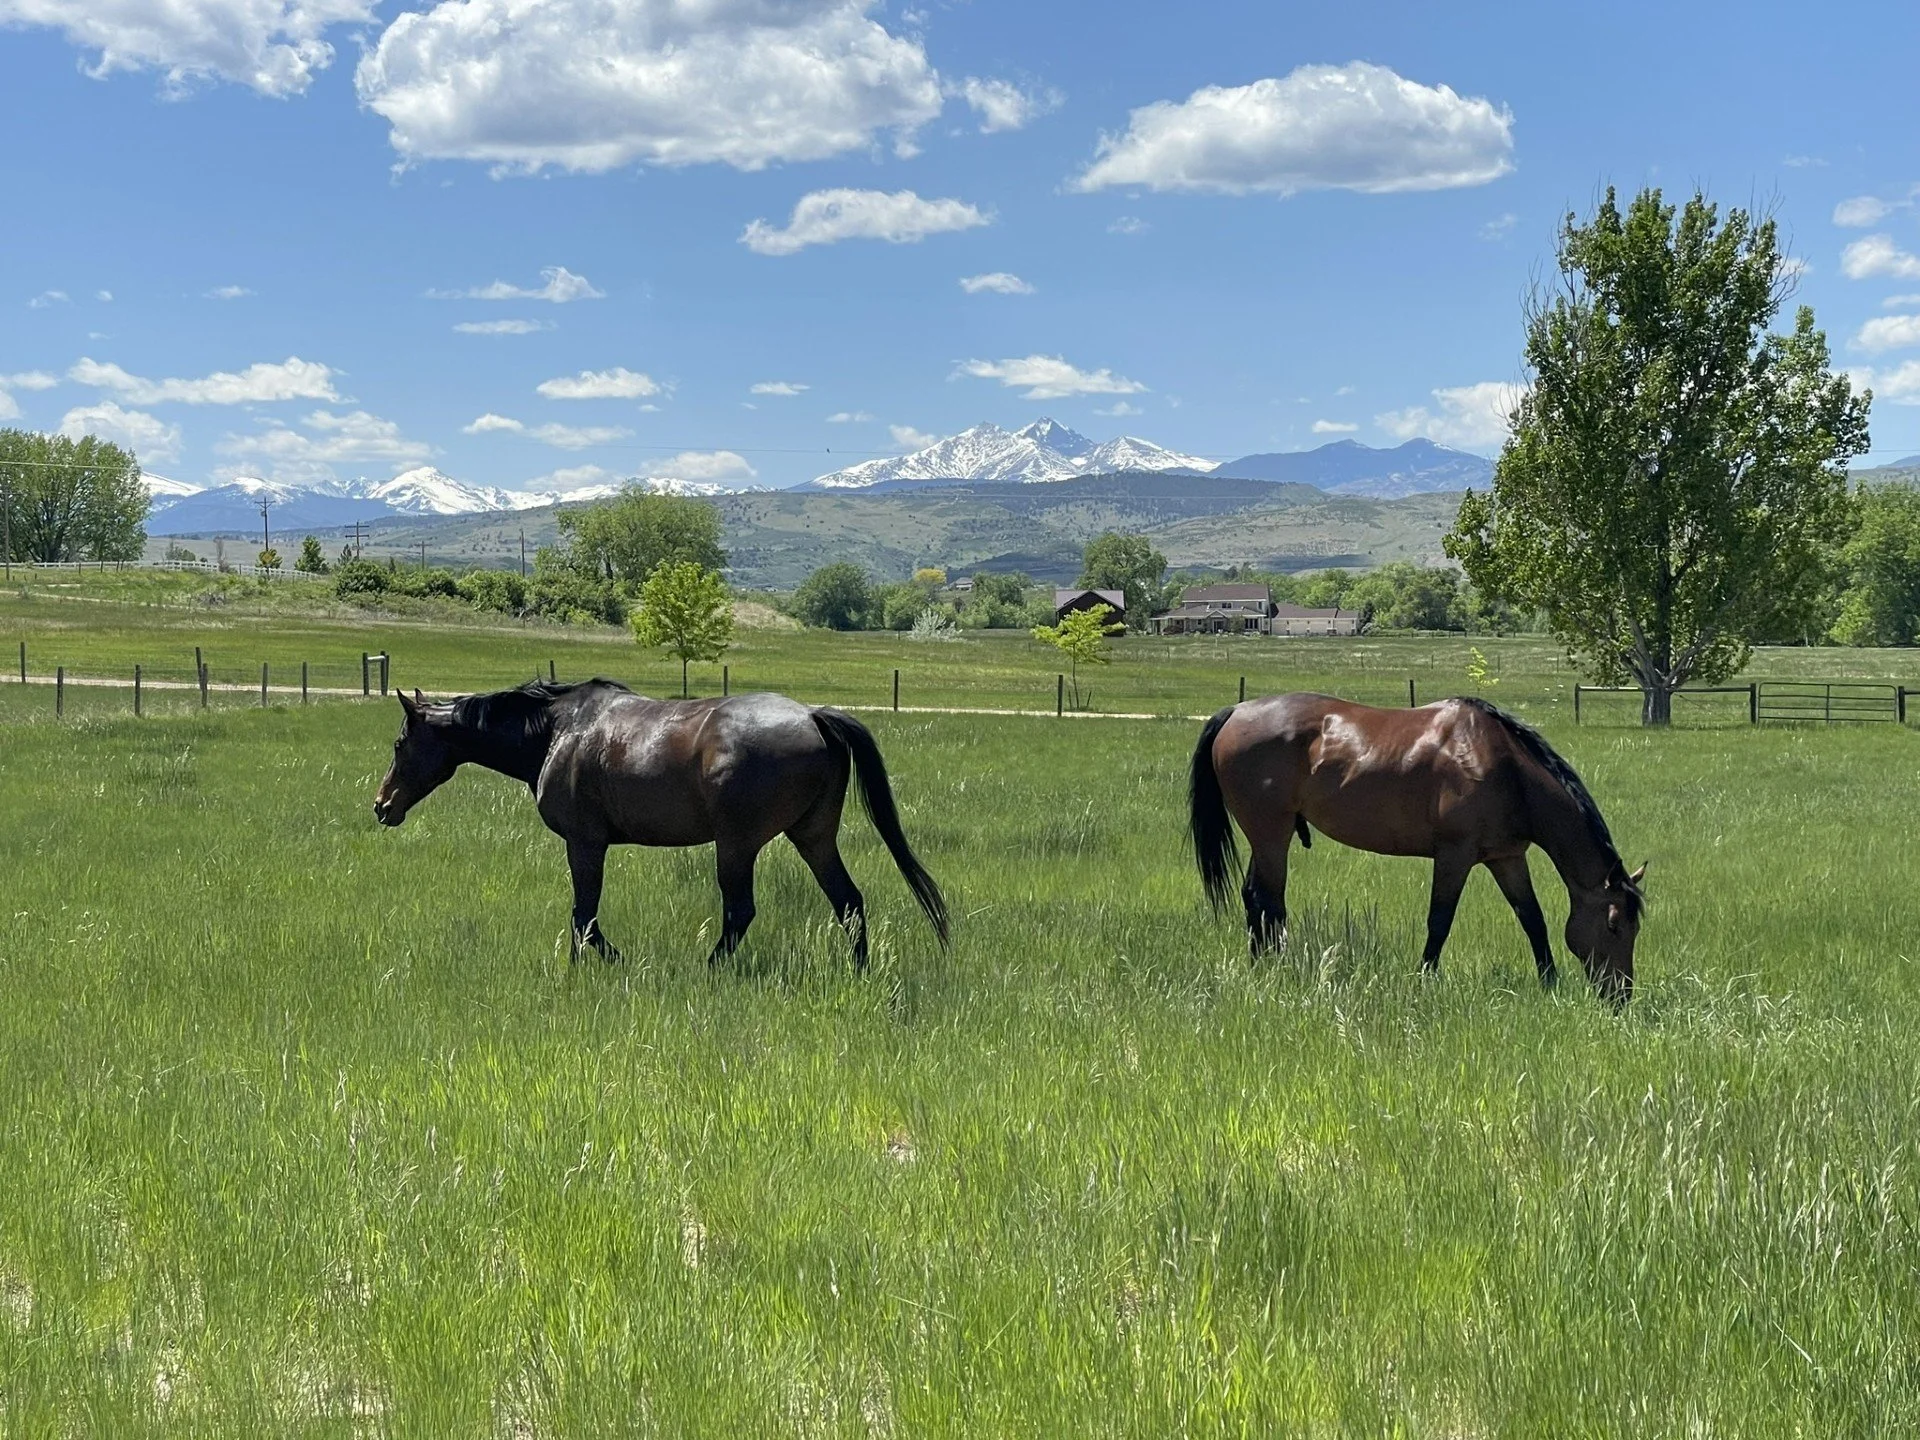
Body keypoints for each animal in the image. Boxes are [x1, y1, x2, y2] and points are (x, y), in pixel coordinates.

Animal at [373, 679, 948, 969]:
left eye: (399, 744)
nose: (382, 805)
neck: (556, 730)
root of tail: (812, 716)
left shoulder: (585, 843)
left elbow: (584, 918)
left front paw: (596, 969)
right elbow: (583, 917)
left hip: (736, 845)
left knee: (740, 912)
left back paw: (708, 972)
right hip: (813, 837)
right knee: (848, 902)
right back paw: (860, 973)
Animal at [1189, 694, 1644, 1005]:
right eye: (1614, 925)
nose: (1620, 996)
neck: (1505, 769)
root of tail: (1236, 712)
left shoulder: (1506, 858)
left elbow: (1532, 920)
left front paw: (1549, 983)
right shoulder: (1455, 856)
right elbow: (1439, 922)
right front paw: (1425, 979)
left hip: (1266, 837)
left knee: (1256, 900)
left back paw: (1263, 966)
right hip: (1271, 834)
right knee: (1268, 901)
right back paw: (1276, 970)